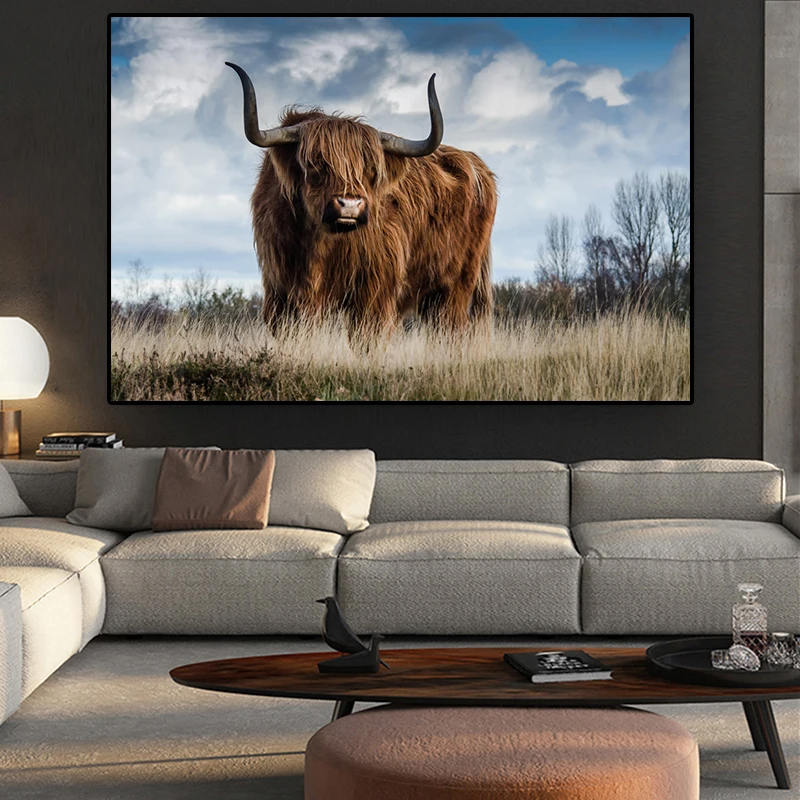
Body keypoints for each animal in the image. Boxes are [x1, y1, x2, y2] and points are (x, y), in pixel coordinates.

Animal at [226, 62, 497, 335]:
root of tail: (476, 164)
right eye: (316, 163)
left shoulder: (374, 292)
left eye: (371, 169)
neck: (317, 245)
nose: (350, 205)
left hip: (456, 286)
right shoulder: (279, 291)